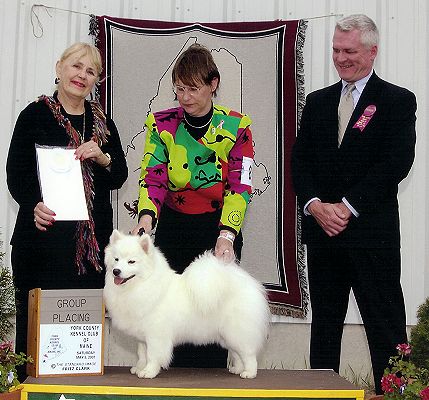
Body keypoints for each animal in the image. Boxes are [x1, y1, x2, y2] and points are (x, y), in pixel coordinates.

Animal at [103, 230, 270, 380]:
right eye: (116, 259)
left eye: (131, 261)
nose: (116, 271)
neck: (143, 285)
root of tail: (247, 284)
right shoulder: (142, 336)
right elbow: (142, 354)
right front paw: (139, 368)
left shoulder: (156, 335)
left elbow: (152, 355)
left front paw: (148, 372)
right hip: (228, 336)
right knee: (237, 354)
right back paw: (238, 369)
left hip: (237, 332)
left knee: (248, 354)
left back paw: (249, 373)